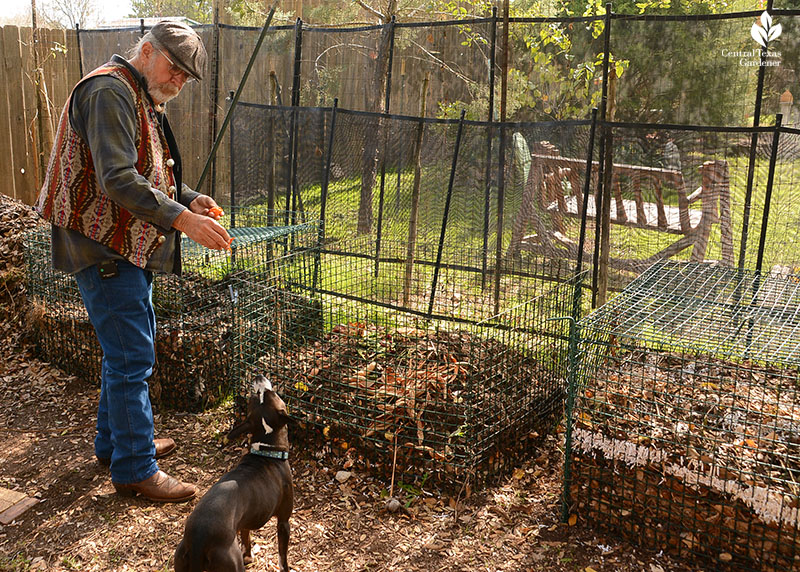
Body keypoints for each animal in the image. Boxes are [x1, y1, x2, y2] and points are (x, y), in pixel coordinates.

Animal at [173, 376, 292, 572]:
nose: (258, 377)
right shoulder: (283, 521)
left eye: (259, 396)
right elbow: (283, 556)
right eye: (265, 394)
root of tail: (198, 538)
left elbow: (246, 536)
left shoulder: (244, 521)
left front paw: (248, 557)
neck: (266, 449)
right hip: (230, 560)